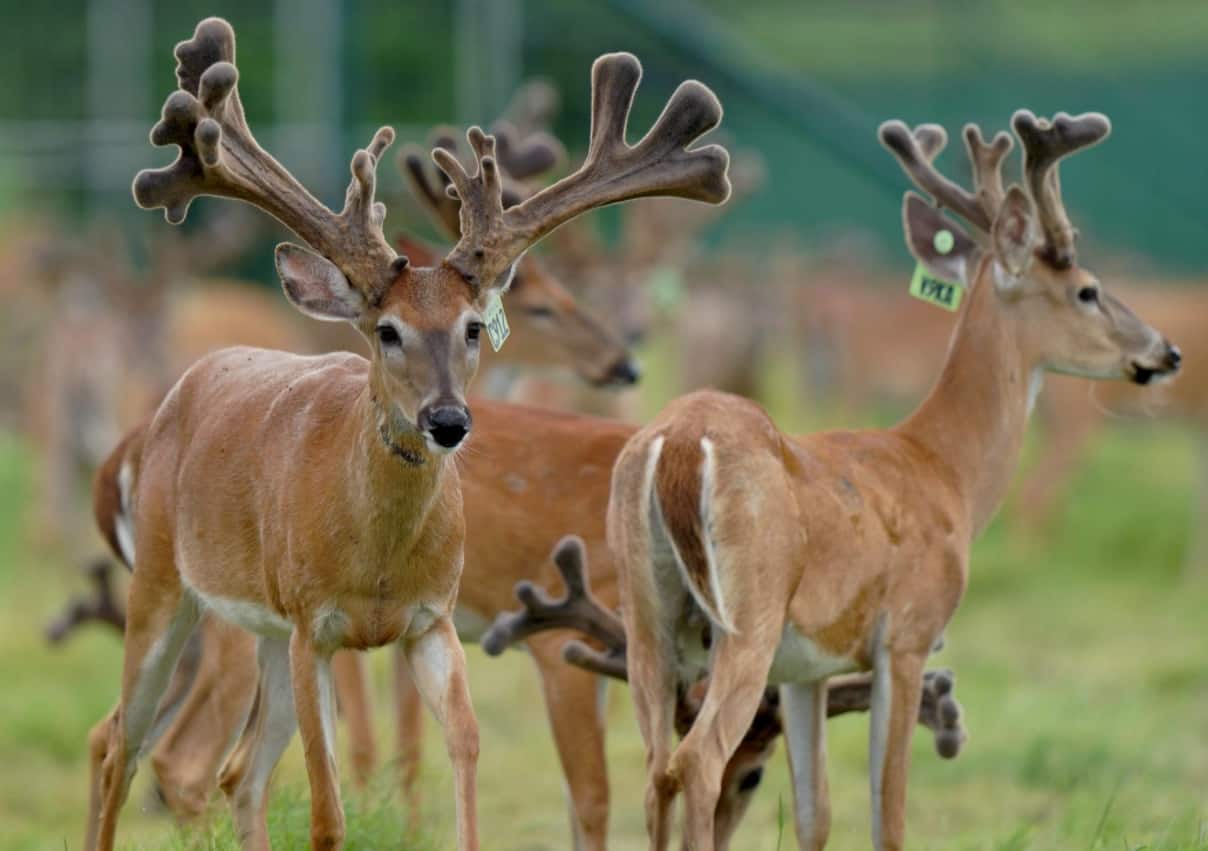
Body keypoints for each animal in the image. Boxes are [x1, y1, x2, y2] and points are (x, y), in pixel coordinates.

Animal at [82, 16, 731, 851]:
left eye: (473, 328)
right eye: (386, 330)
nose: (447, 421)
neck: (378, 563)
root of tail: (134, 442)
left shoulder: (434, 620)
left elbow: (461, 752)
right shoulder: (328, 625)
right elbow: (336, 807)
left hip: (257, 631)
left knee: (229, 769)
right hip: (174, 592)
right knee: (132, 745)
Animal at [607, 110, 1181, 851]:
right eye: (1087, 288)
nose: (1165, 350)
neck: (941, 467)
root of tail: (678, 442)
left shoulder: (807, 667)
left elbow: (815, 813)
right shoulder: (908, 633)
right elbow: (891, 813)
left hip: (646, 613)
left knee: (655, 766)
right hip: (747, 613)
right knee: (697, 761)